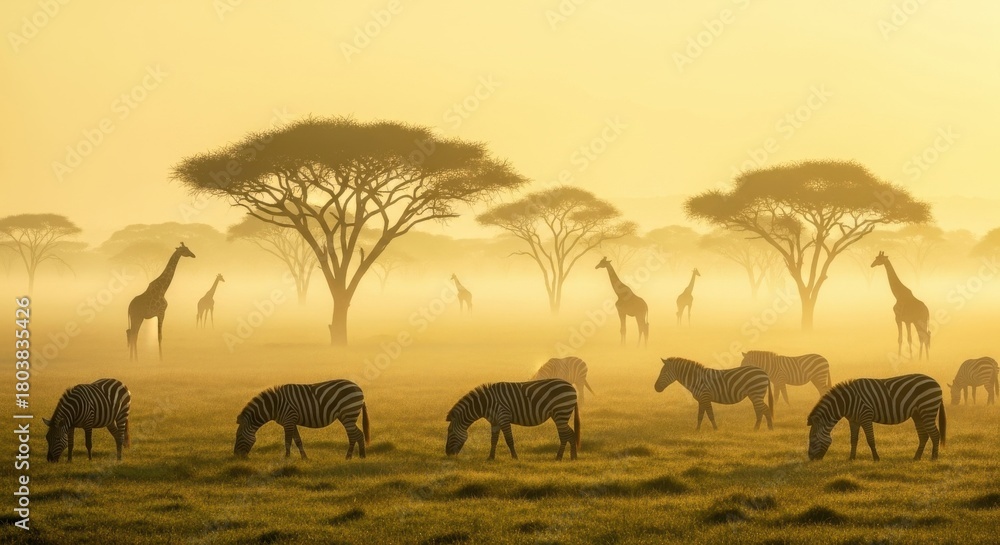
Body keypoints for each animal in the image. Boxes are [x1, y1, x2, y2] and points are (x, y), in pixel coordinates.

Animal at [234, 380, 370, 460]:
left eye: (238, 436)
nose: (236, 456)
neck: (274, 406)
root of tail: (358, 387)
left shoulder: (289, 420)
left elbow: (287, 441)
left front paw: (287, 458)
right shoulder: (291, 421)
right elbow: (297, 440)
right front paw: (304, 457)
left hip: (348, 414)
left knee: (354, 435)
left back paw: (350, 457)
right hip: (346, 416)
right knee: (358, 434)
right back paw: (361, 456)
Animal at [446, 379, 580, 461]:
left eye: (450, 432)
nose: (447, 453)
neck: (486, 404)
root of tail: (571, 386)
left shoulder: (504, 417)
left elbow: (509, 439)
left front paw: (515, 457)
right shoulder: (495, 422)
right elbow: (493, 440)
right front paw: (490, 457)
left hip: (560, 413)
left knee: (565, 435)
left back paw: (559, 457)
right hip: (560, 415)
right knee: (571, 433)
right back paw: (573, 457)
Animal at [807, 374, 946, 461]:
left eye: (812, 439)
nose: (810, 459)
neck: (847, 402)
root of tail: (936, 383)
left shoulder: (866, 416)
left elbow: (870, 440)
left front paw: (876, 458)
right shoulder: (853, 420)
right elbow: (853, 439)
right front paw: (851, 458)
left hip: (927, 410)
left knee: (935, 434)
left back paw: (934, 458)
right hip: (917, 414)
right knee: (924, 435)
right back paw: (916, 457)